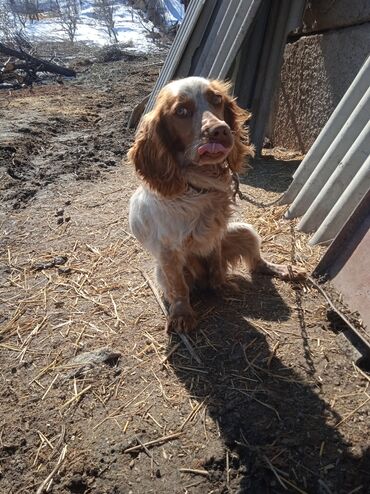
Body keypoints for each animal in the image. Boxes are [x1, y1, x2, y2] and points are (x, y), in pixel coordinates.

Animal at [127, 77, 304, 332]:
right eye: (181, 111)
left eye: (217, 99)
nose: (220, 130)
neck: (198, 187)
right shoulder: (169, 254)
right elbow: (179, 287)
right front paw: (182, 314)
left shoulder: (215, 236)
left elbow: (216, 265)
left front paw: (221, 286)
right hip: (162, 270)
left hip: (246, 231)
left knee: (257, 263)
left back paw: (286, 269)